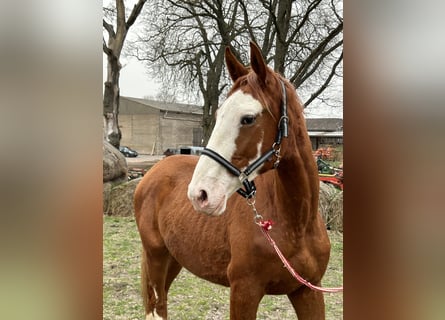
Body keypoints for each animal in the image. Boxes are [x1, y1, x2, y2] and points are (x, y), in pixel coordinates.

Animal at [133, 42, 330, 320]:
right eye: (219, 115)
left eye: (248, 118)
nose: (200, 194)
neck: (297, 224)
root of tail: (152, 172)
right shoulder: (244, 292)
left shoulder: (308, 291)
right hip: (156, 257)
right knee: (157, 306)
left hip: (174, 258)